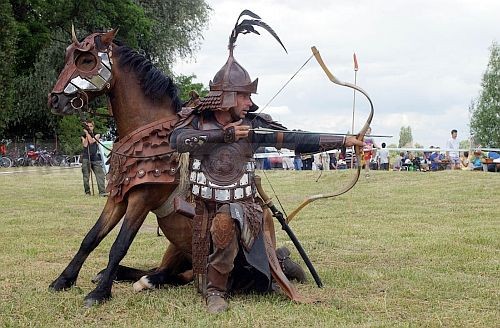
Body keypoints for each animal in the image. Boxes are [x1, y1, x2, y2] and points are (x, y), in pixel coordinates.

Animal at [47, 26, 194, 306]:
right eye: (67, 56)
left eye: (87, 60)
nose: (54, 101)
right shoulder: (117, 197)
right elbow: (91, 238)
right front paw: (64, 280)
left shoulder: (142, 199)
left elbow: (119, 245)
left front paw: (99, 293)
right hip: (176, 248)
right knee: (166, 270)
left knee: (182, 276)